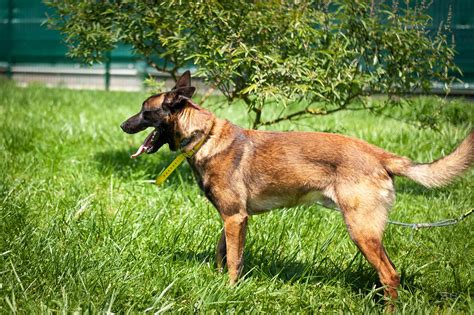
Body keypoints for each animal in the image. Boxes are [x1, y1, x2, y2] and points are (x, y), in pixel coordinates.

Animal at [121, 71, 474, 304]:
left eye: (145, 111)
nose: (123, 125)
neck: (204, 137)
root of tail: (379, 154)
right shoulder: (232, 218)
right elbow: (224, 253)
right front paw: (219, 282)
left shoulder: (235, 218)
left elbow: (234, 260)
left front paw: (229, 291)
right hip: (368, 231)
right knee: (389, 273)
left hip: (360, 230)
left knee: (390, 275)